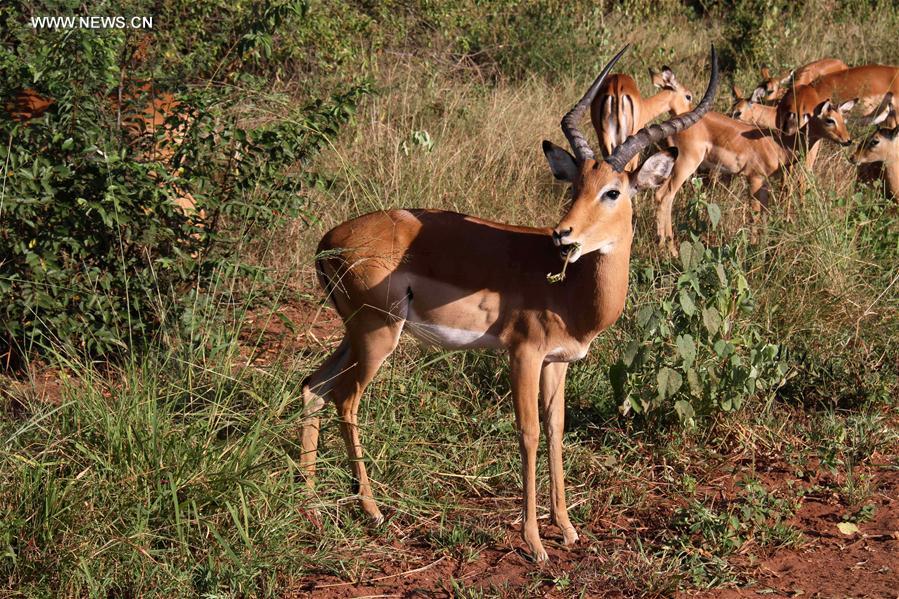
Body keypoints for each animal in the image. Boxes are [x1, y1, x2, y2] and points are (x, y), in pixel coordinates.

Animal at [298, 47, 720, 564]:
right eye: (575, 186)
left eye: (611, 190)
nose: (563, 236)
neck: (572, 291)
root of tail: (328, 241)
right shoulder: (523, 355)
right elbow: (529, 432)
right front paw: (534, 543)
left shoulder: (558, 362)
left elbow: (557, 430)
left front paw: (568, 529)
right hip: (377, 335)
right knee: (345, 398)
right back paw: (372, 511)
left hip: (353, 334)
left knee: (313, 387)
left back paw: (311, 504)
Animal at [652, 98, 852, 253]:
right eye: (829, 120)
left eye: (843, 119)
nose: (848, 140)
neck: (781, 145)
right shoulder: (754, 178)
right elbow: (754, 215)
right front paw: (752, 250)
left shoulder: (764, 183)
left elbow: (763, 214)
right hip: (685, 164)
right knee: (665, 196)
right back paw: (670, 251)